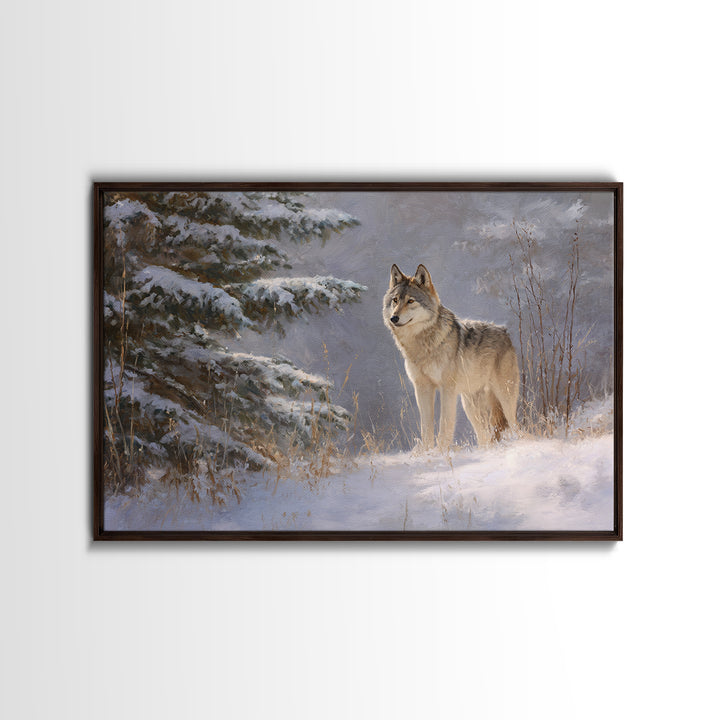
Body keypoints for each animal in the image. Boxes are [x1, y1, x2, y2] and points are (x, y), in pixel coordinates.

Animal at [383, 263, 519, 449]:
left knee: (516, 426)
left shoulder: (447, 389)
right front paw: (427, 452)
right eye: (395, 300)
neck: (423, 345)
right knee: (484, 435)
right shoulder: (422, 388)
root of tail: (505, 333)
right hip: (470, 406)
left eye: (411, 301)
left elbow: (444, 424)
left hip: (504, 398)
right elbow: (426, 427)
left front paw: (441, 451)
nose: (394, 318)